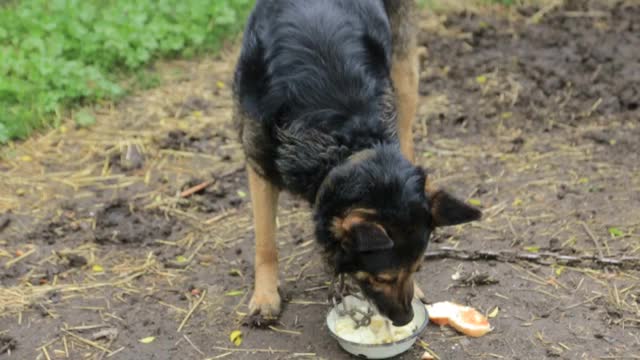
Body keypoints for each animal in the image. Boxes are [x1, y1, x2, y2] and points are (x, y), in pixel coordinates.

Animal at [231, 0, 480, 326]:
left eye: (416, 269)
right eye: (382, 278)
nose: (404, 319)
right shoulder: (259, 163)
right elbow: (265, 241)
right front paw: (265, 296)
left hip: (403, 77)